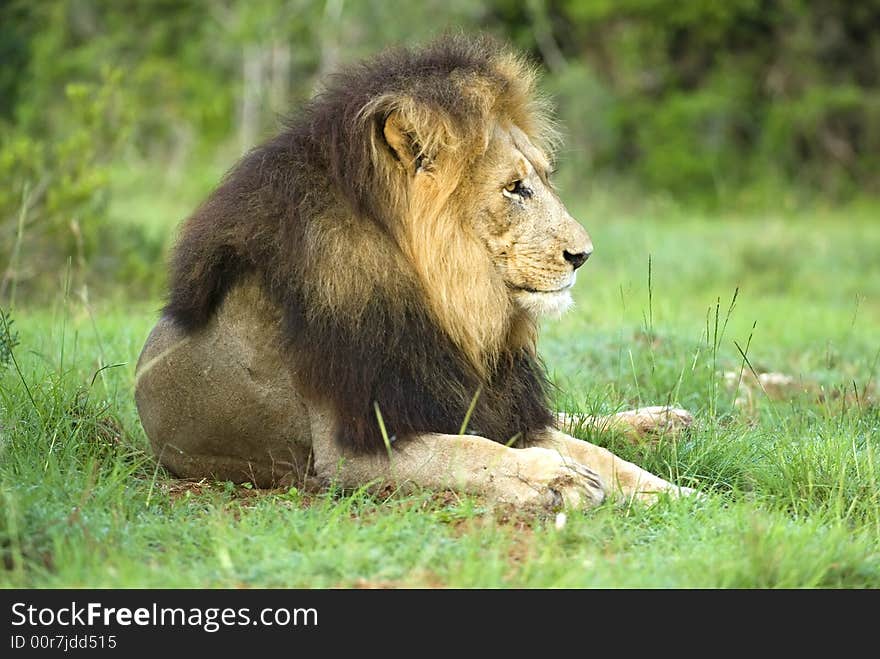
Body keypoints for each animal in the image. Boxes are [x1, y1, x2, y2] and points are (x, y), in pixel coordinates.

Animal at [132, 36, 696, 510]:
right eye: (515, 188)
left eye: (544, 179)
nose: (583, 255)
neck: (449, 303)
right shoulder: (348, 449)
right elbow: (470, 450)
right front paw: (557, 476)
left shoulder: (468, 398)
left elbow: (593, 453)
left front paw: (672, 493)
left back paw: (660, 422)